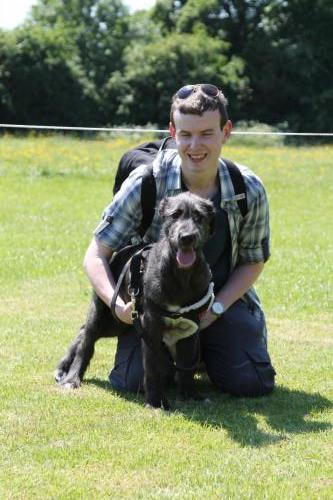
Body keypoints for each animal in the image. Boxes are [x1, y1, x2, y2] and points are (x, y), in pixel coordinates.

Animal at [55, 193, 215, 408]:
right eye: (175, 215)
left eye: (199, 217)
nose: (187, 237)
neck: (181, 275)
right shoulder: (151, 326)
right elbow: (154, 367)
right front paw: (156, 402)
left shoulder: (191, 327)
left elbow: (186, 364)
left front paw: (189, 393)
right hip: (104, 311)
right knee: (87, 341)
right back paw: (72, 377)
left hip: (119, 323)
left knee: (82, 332)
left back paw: (64, 368)